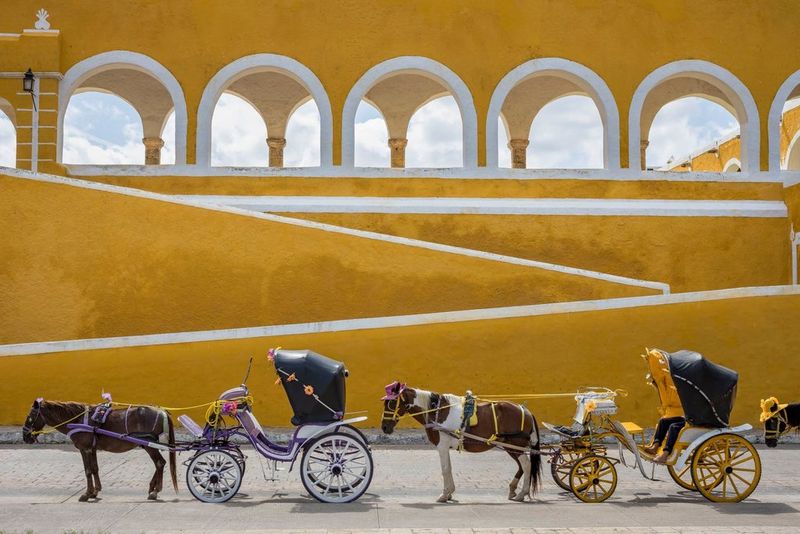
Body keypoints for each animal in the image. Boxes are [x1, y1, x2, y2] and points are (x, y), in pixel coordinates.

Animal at [22, 398, 177, 501]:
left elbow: (87, 470)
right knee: (160, 464)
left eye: (30, 416)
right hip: (148, 444)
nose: (25, 436)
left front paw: (87, 494)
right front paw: (95, 492)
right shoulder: (92, 448)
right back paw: (152, 488)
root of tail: (162, 410)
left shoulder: (84, 449)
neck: (77, 420)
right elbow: (95, 468)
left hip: (149, 444)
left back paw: (155, 491)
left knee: (160, 463)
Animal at [381, 381, 541, 503]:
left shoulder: (442, 446)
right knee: (521, 466)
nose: (384, 427)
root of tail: (525, 410)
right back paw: (514, 489)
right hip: (510, 445)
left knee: (526, 465)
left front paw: (444, 494)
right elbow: (449, 468)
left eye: (392, 402)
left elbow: (445, 469)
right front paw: (450, 493)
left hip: (516, 444)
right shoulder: (445, 446)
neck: (436, 411)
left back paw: (522, 493)